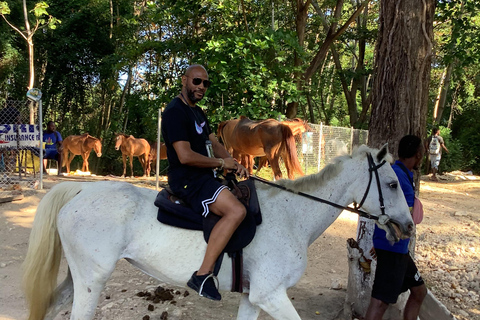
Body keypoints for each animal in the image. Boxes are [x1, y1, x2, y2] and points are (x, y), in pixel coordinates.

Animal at [21, 146, 412, 320]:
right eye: (393, 184)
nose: (407, 227)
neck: (292, 217)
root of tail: (81, 190)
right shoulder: (271, 295)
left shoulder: (252, 298)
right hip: (92, 280)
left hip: (78, 278)